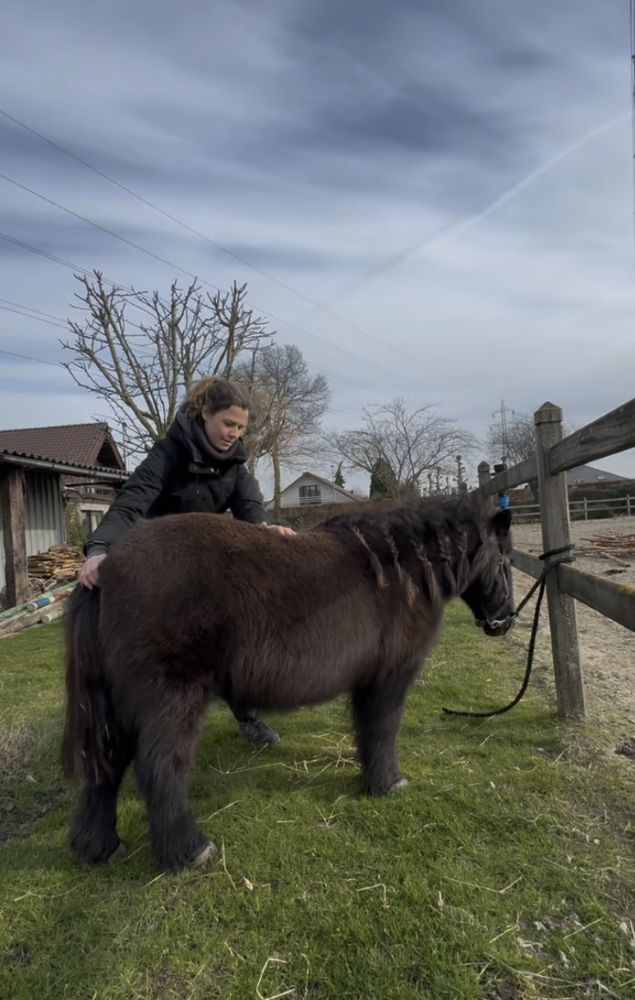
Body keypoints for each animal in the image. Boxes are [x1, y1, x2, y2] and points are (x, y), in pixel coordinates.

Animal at [62, 494, 513, 872]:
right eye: (505, 559)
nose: (505, 619)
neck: (400, 570)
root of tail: (105, 570)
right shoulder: (388, 679)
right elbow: (382, 731)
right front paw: (389, 783)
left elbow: (366, 732)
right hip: (170, 701)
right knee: (159, 769)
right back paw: (190, 850)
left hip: (119, 707)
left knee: (108, 765)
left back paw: (99, 846)